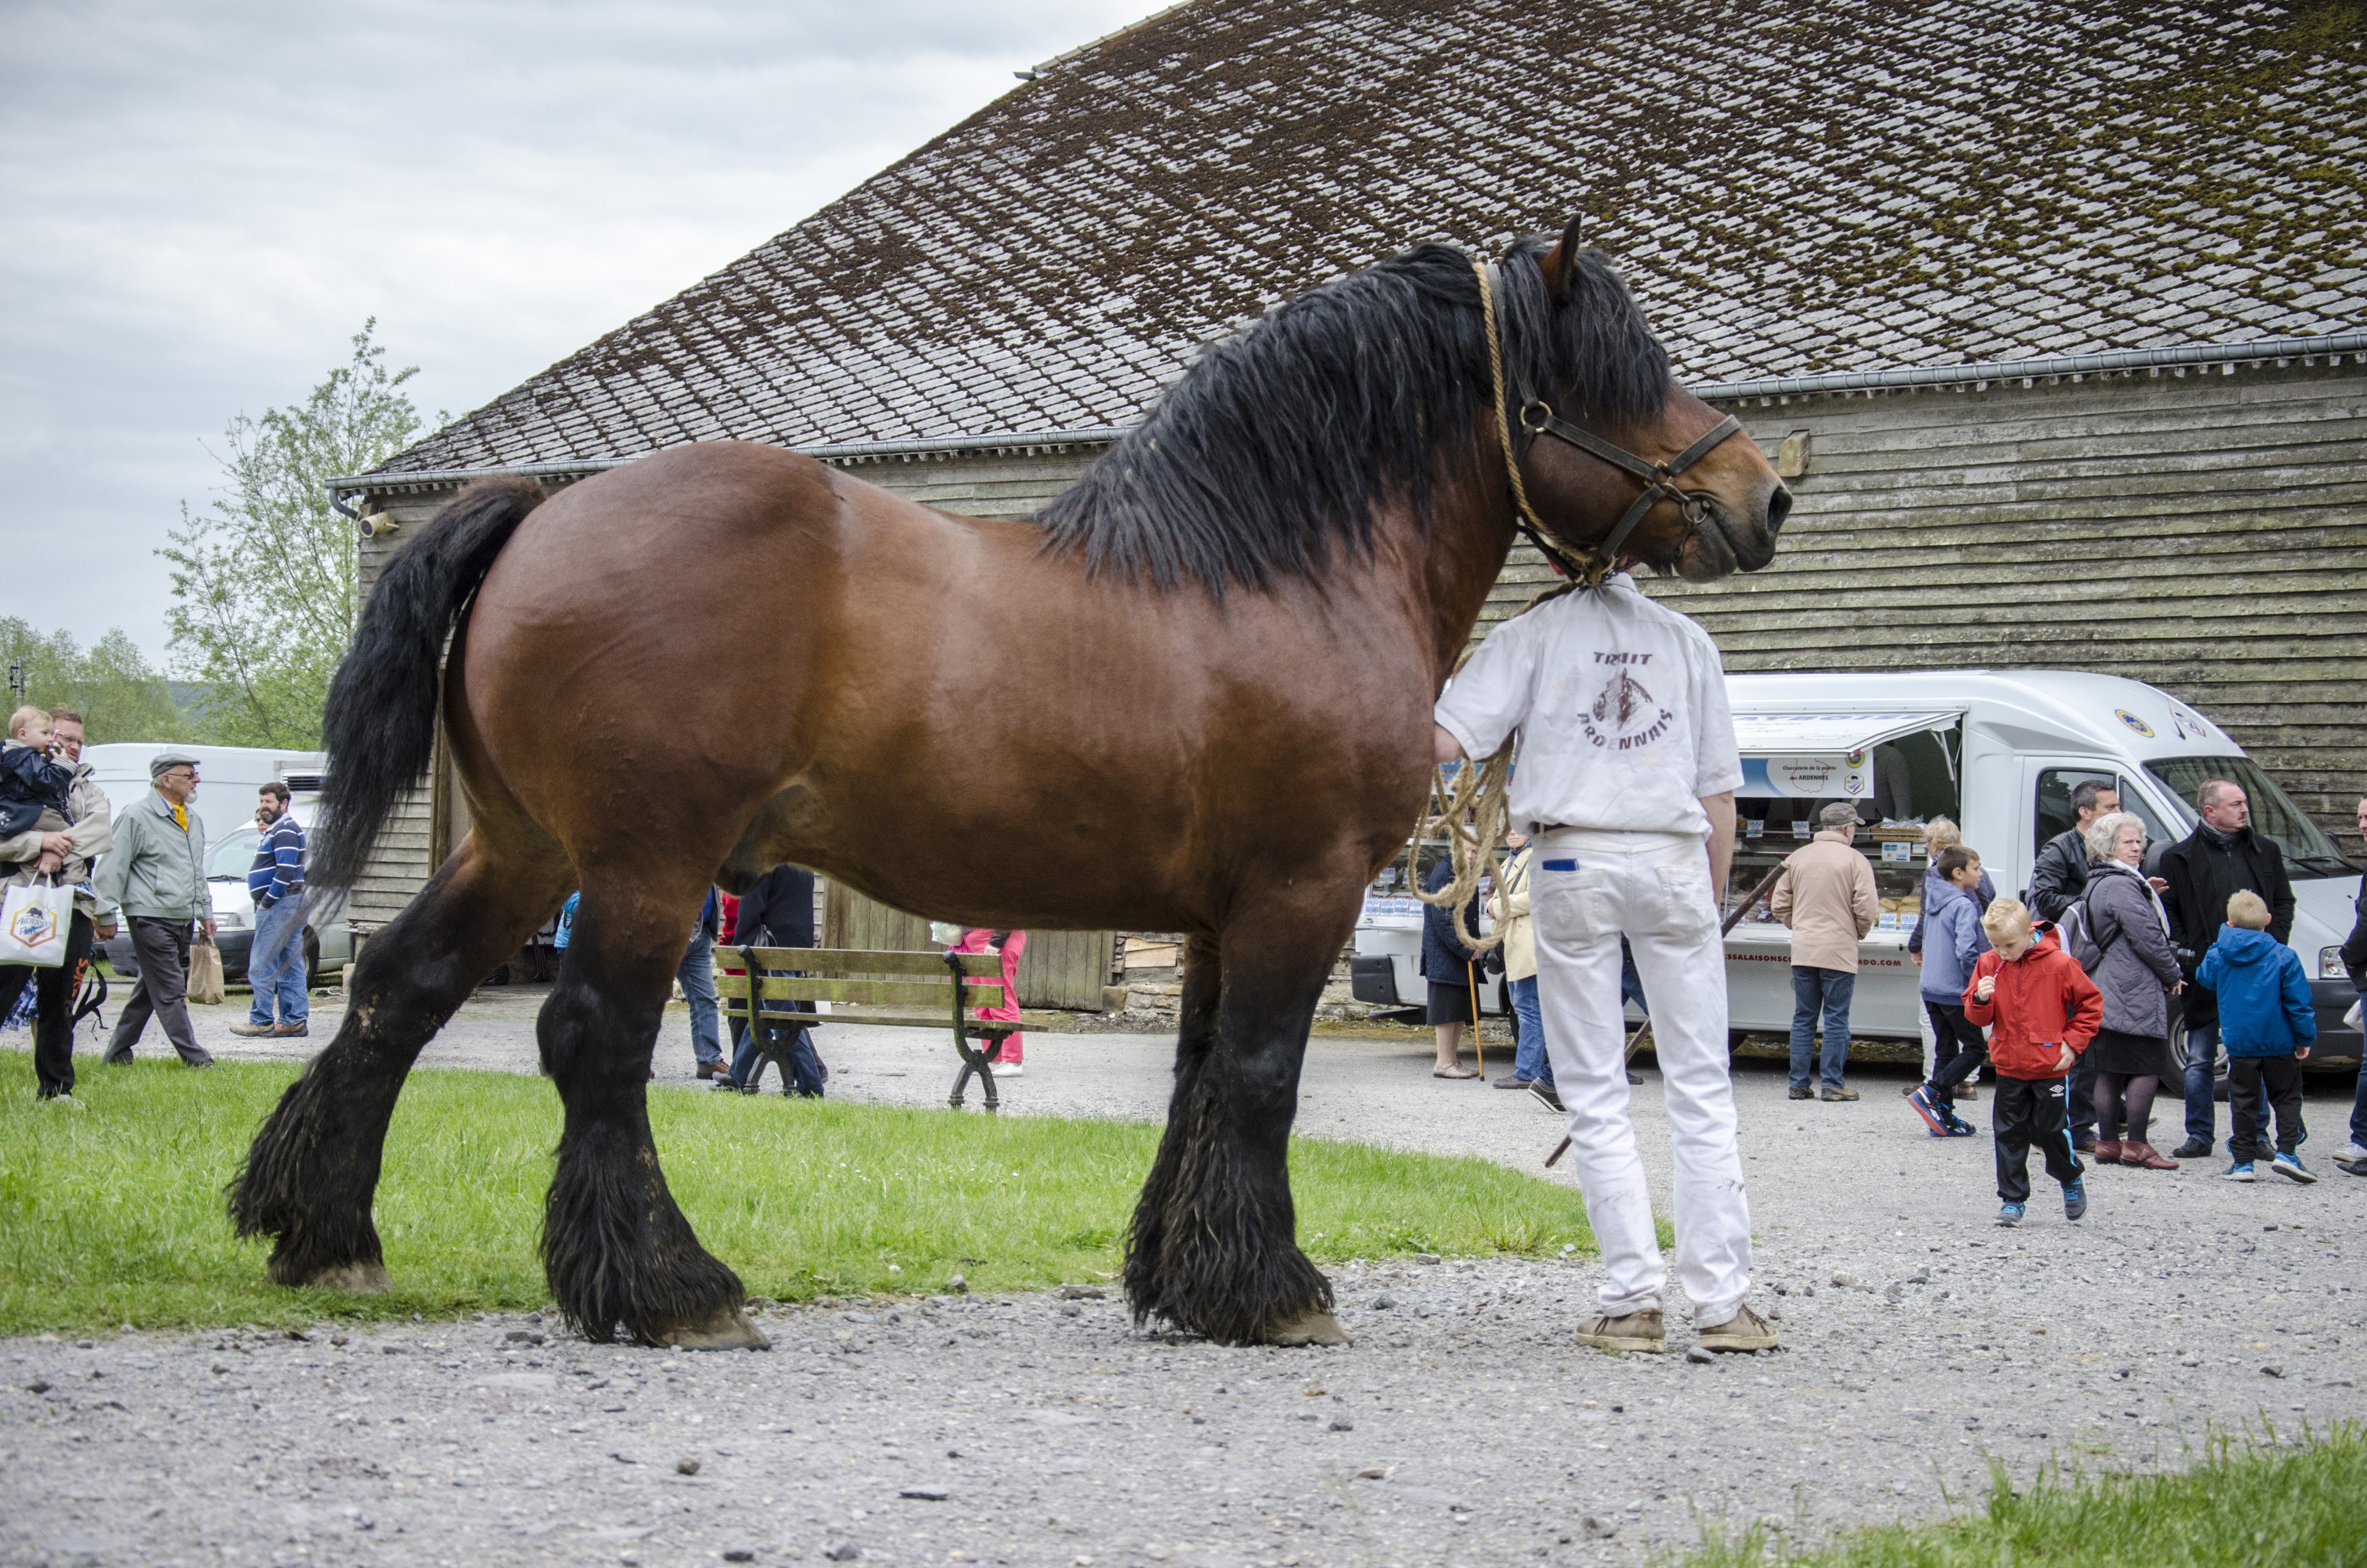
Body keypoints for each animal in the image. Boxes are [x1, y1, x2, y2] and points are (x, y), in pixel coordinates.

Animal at [244, 223, 1789, 1354]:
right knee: (591, 1044)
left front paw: (1184, 1279)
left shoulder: (1219, 915)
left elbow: (1196, 1079)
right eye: (1610, 373)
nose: (1761, 496)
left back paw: (326, 1237)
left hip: (521, 849)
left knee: (395, 989)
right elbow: (1262, 1079)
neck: (1281, 571)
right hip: (641, 867)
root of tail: (542, 510)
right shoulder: (1300, 889)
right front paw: (1274, 1291)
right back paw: (671, 1288)